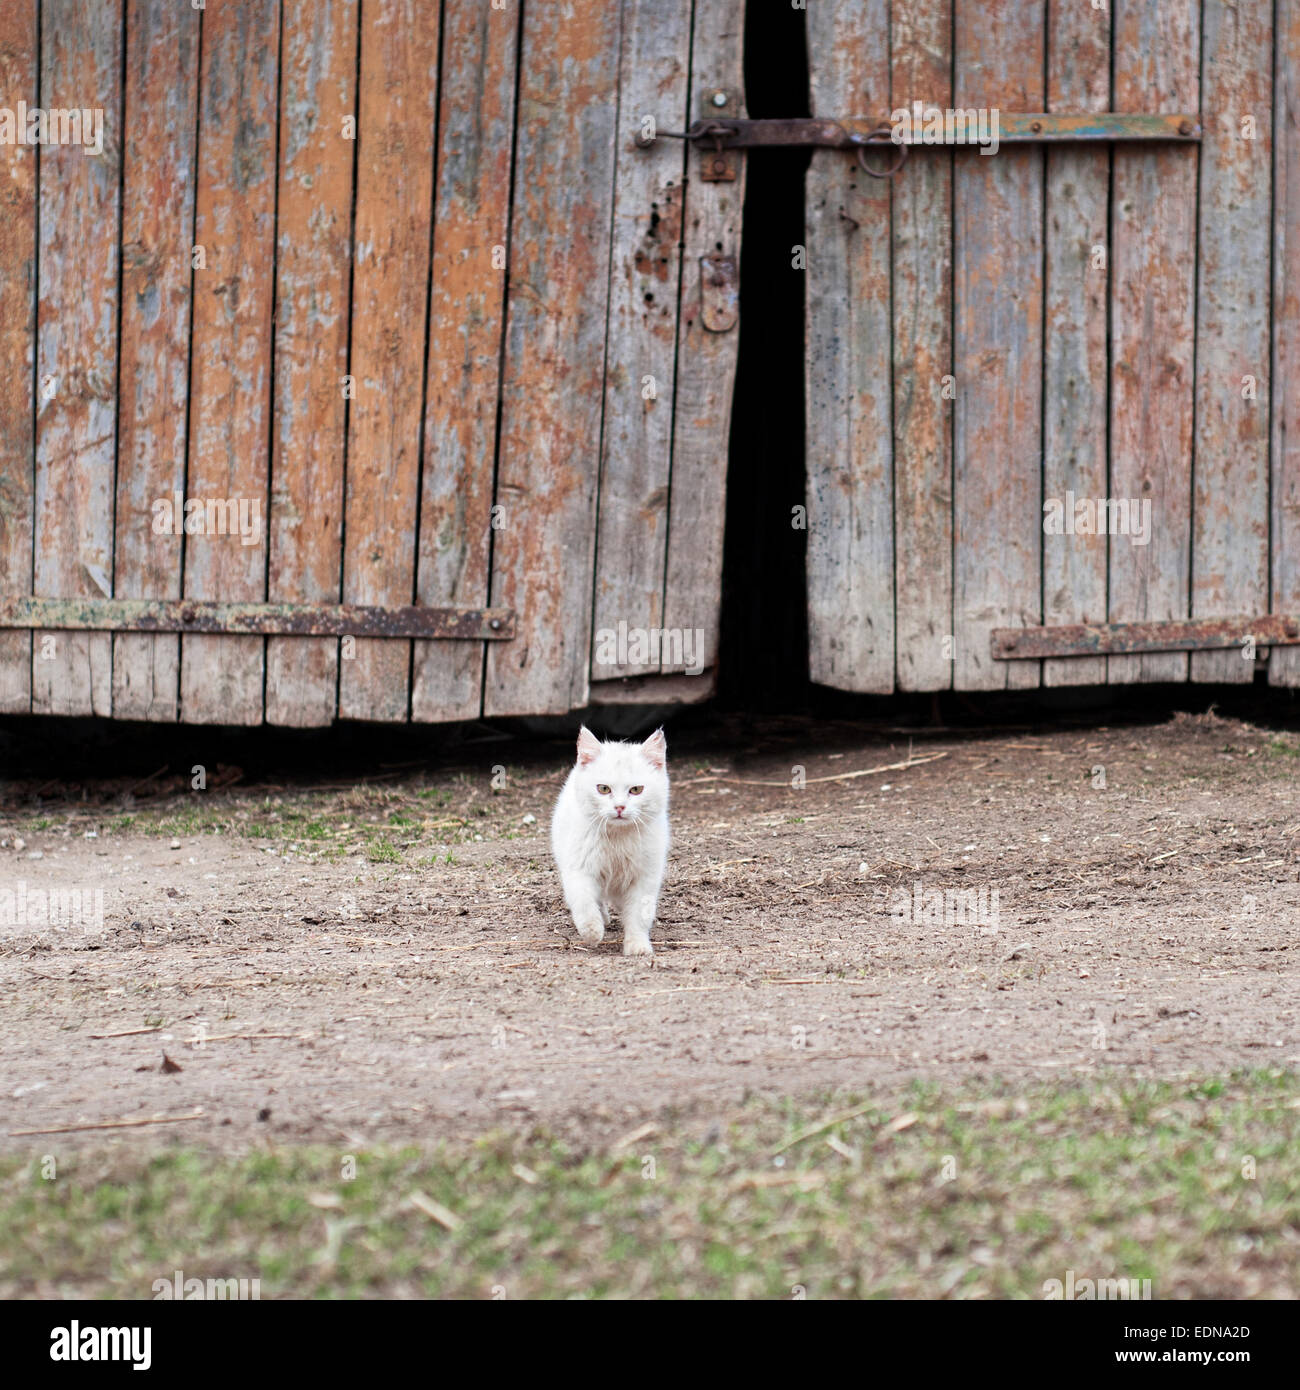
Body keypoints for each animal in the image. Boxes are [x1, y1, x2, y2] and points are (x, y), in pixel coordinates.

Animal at [547, 728, 670, 956]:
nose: (620, 807)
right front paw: (592, 931)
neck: (617, 838)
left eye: (636, 790)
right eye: (603, 789)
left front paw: (637, 945)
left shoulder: (645, 877)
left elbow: (639, 914)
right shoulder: (579, 869)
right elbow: (584, 902)